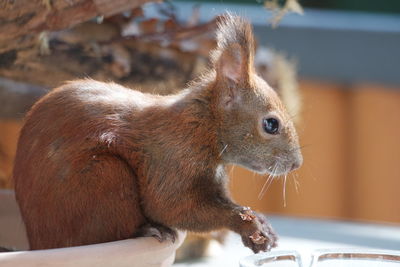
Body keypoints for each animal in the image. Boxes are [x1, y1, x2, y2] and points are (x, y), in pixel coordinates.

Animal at [12, 14, 304, 253]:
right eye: (271, 124)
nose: (296, 164)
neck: (202, 127)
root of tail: (39, 242)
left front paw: (262, 225)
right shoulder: (171, 161)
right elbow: (172, 207)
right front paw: (244, 224)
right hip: (103, 177)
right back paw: (149, 230)